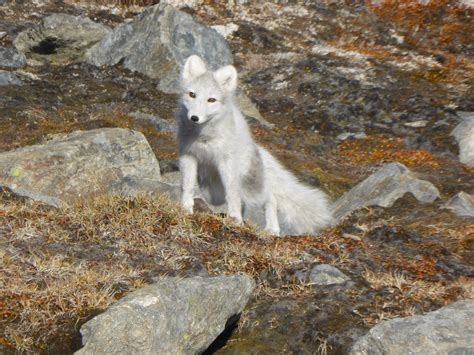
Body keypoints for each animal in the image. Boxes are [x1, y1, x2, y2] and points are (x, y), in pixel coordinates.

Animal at [176, 55, 332, 236]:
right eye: (192, 94)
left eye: (211, 100)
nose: (194, 117)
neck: (204, 136)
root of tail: (256, 147)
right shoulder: (188, 156)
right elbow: (187, 186)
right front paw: (185, 210)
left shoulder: (226, 163)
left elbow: (233, 195)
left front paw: (235, 220)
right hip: (213, 190)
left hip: (247, 183)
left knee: (269, 197)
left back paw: (271, 228)